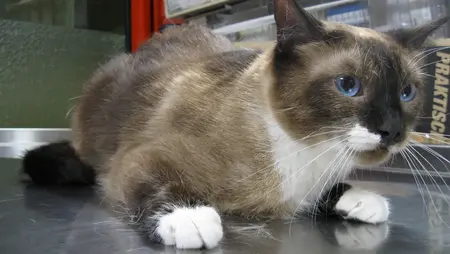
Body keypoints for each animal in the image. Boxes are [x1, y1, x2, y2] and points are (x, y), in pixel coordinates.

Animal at [22, 0, 448, 250]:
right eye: (349, 86)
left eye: (407, 92)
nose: (392, 130)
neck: (310, 153)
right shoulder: (141, 158)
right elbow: (161, 184)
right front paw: (190, 218)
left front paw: (358, 199)